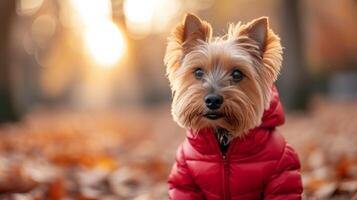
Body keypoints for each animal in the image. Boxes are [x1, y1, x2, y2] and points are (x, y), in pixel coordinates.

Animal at [163, 13, 300, 199]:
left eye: (237, 74)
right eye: (198, 72)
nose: (213, 100)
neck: (223, 135)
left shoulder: (282, 173)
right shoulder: (184, 178)